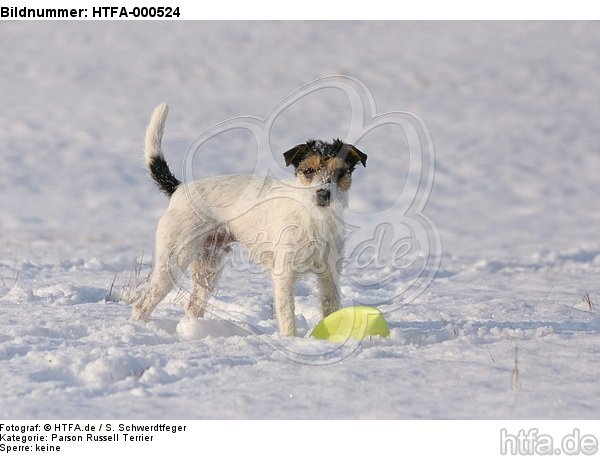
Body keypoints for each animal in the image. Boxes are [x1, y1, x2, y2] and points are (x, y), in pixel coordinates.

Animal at [131, 104, 366, 338]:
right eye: (309, 170)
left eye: (340, 172)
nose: (323, 194)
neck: (314, 217)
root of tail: (180, 189)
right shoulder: (284, 277)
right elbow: (287, 318)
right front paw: (291, 341)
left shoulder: (329, 277)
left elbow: (331, 310)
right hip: (173, 261)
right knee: (142, 305)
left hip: (209, 267)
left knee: (193, 306)